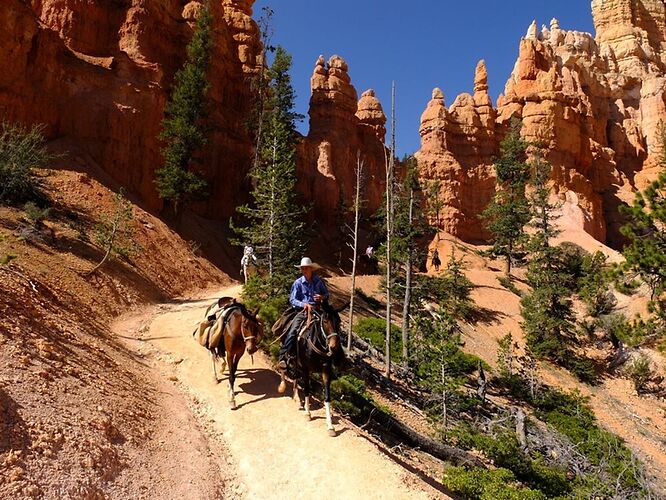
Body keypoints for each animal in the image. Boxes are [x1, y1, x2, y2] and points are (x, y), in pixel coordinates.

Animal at [276, 302, 344, 436]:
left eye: (338, 322)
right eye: (325, 320)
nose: (334, 347)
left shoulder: (325, 371)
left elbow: (327, 396)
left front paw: (330, 427)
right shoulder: (306, 369)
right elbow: (307, 389)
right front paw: (308, 414)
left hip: (296, 361)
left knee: (295, 376)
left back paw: (297, 399)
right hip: (286, 349)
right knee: (283, 364)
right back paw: (282, 385)